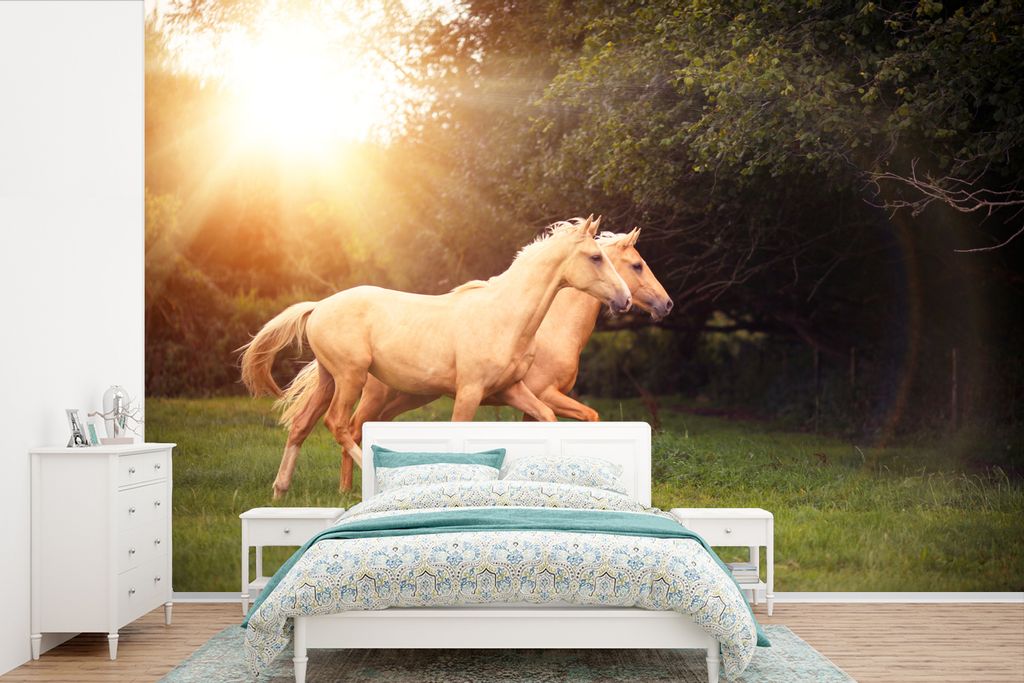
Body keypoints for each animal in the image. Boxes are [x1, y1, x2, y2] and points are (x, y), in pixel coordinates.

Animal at [240, 215, 631, 498]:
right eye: (596, 257)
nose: (625, 299)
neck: (505, 316)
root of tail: (319, 306)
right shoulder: (470, 392)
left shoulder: (513, 389)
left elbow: (548, 419)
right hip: (351, 378)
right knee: (338, 425)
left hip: (329, 378)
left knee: (301, 424)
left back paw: (280, 491)